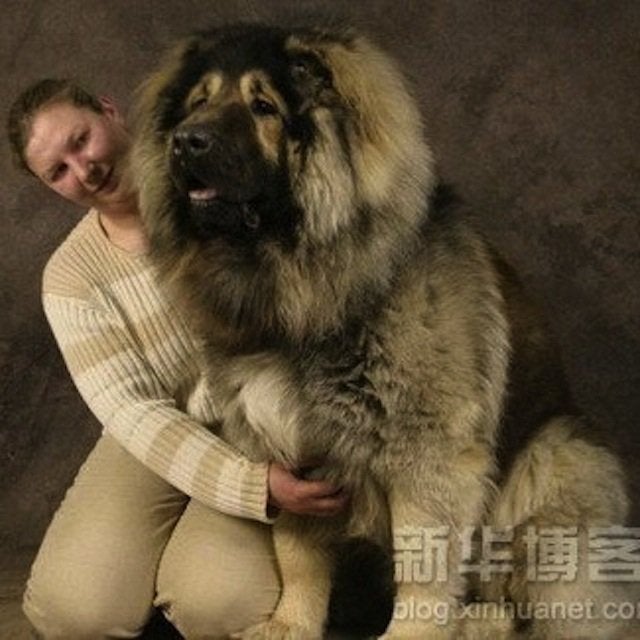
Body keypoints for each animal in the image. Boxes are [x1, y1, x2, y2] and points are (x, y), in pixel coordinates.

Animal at [132, 22, 632, 636]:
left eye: (263, 107)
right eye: (197, 103)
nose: (186, 141)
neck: (299, 286)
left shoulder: (429, 456)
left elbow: (423, 566)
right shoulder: (287, 450)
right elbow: (297, 555)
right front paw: (291, 624)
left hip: (554, 460)